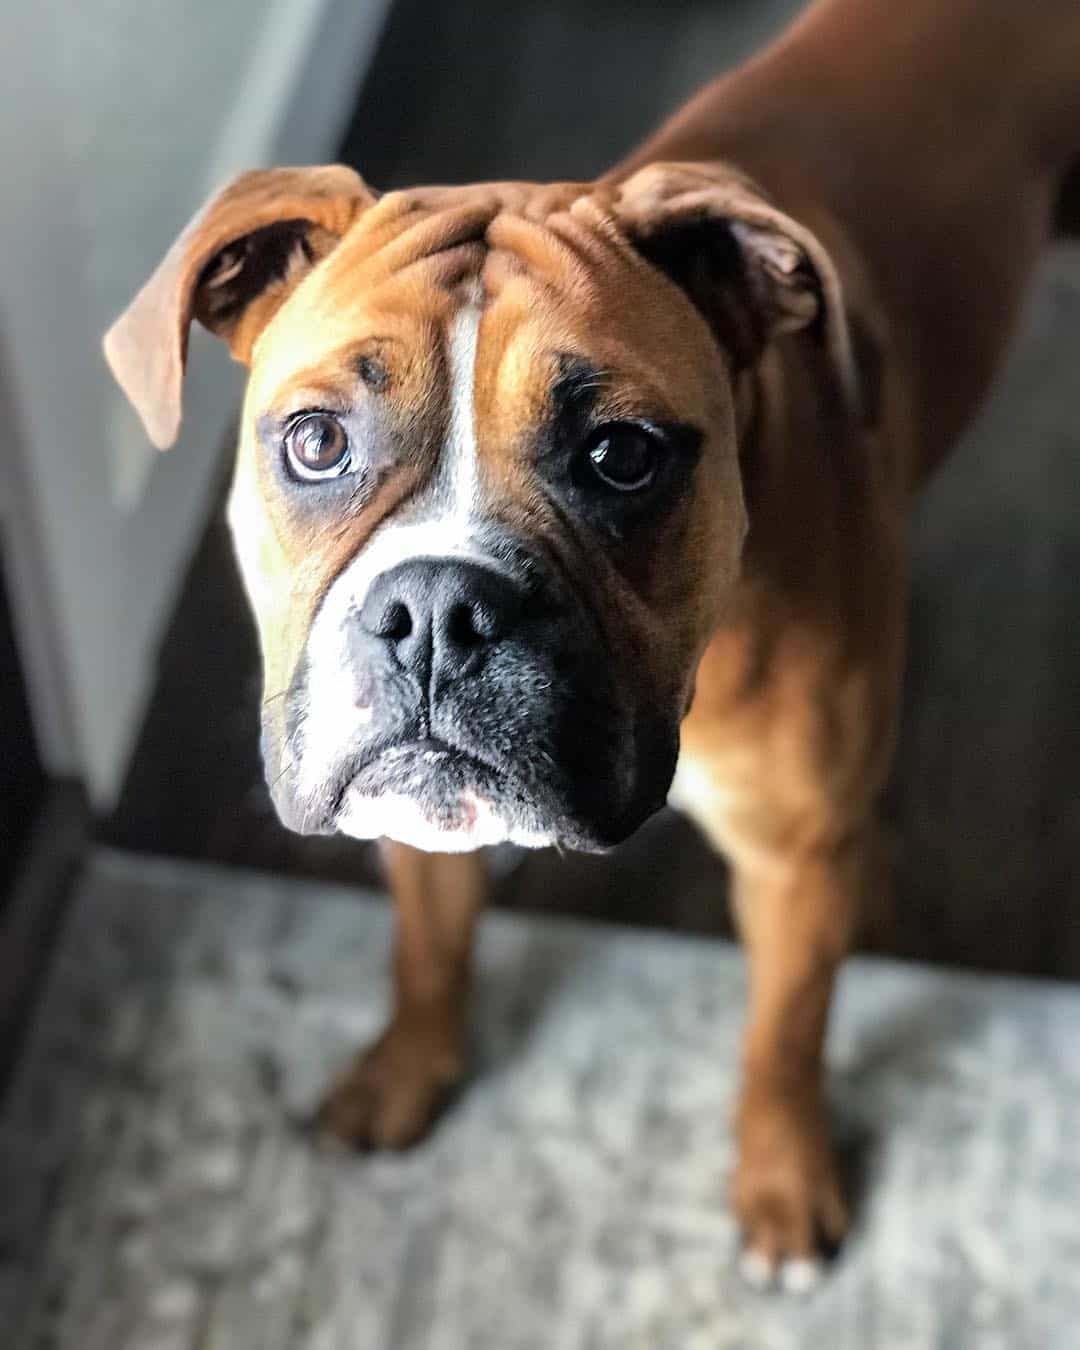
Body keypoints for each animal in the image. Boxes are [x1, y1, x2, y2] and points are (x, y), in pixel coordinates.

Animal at [101, 0, 1080, 1285]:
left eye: (621, 456)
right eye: (316, 442)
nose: (434, 610)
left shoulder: (803, 858)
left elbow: (785, 1032)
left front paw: (783, 1182)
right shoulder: (415, 820)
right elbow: (426, 944)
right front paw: (406, 1070)